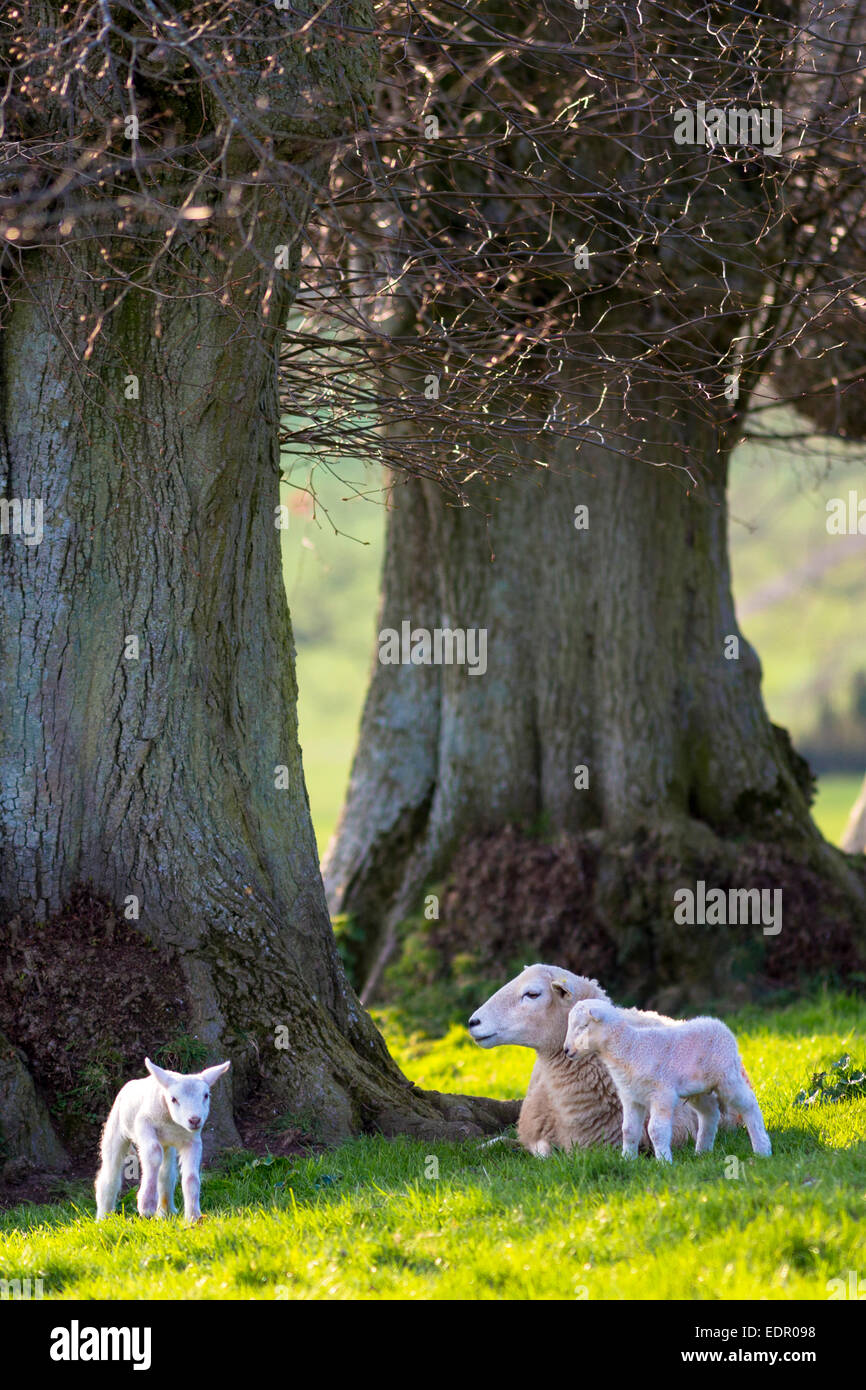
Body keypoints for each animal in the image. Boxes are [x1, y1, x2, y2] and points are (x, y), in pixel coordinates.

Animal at [95, 1056, 230, 1223]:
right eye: (173, 1099)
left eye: (206, 1096)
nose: (194, 1120)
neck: (172, 1124)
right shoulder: (143, 1123)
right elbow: (153, 1154)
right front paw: (147, 1205)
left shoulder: (193, 1141)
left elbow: (191, 1178)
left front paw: (193, 1217)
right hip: (116, 1130)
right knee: (110, 1176)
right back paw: (103, 1218)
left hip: (167, 1145)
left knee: (166, 1174)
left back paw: (166, 1211)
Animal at [567, 1000, 778, 1162]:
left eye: (583, 1026)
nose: (567, 1050)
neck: (629, 1047)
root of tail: (719, 1024)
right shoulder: (631, 1096)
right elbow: (628, 1130)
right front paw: (627, 1160)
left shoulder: (662, 1093)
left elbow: (656, 1130)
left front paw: (664, 1162)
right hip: (698, 1089)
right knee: (710, 1112)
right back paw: (702, 1152)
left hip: (727, 1076)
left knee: (749, 1104)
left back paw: (762, 1149)